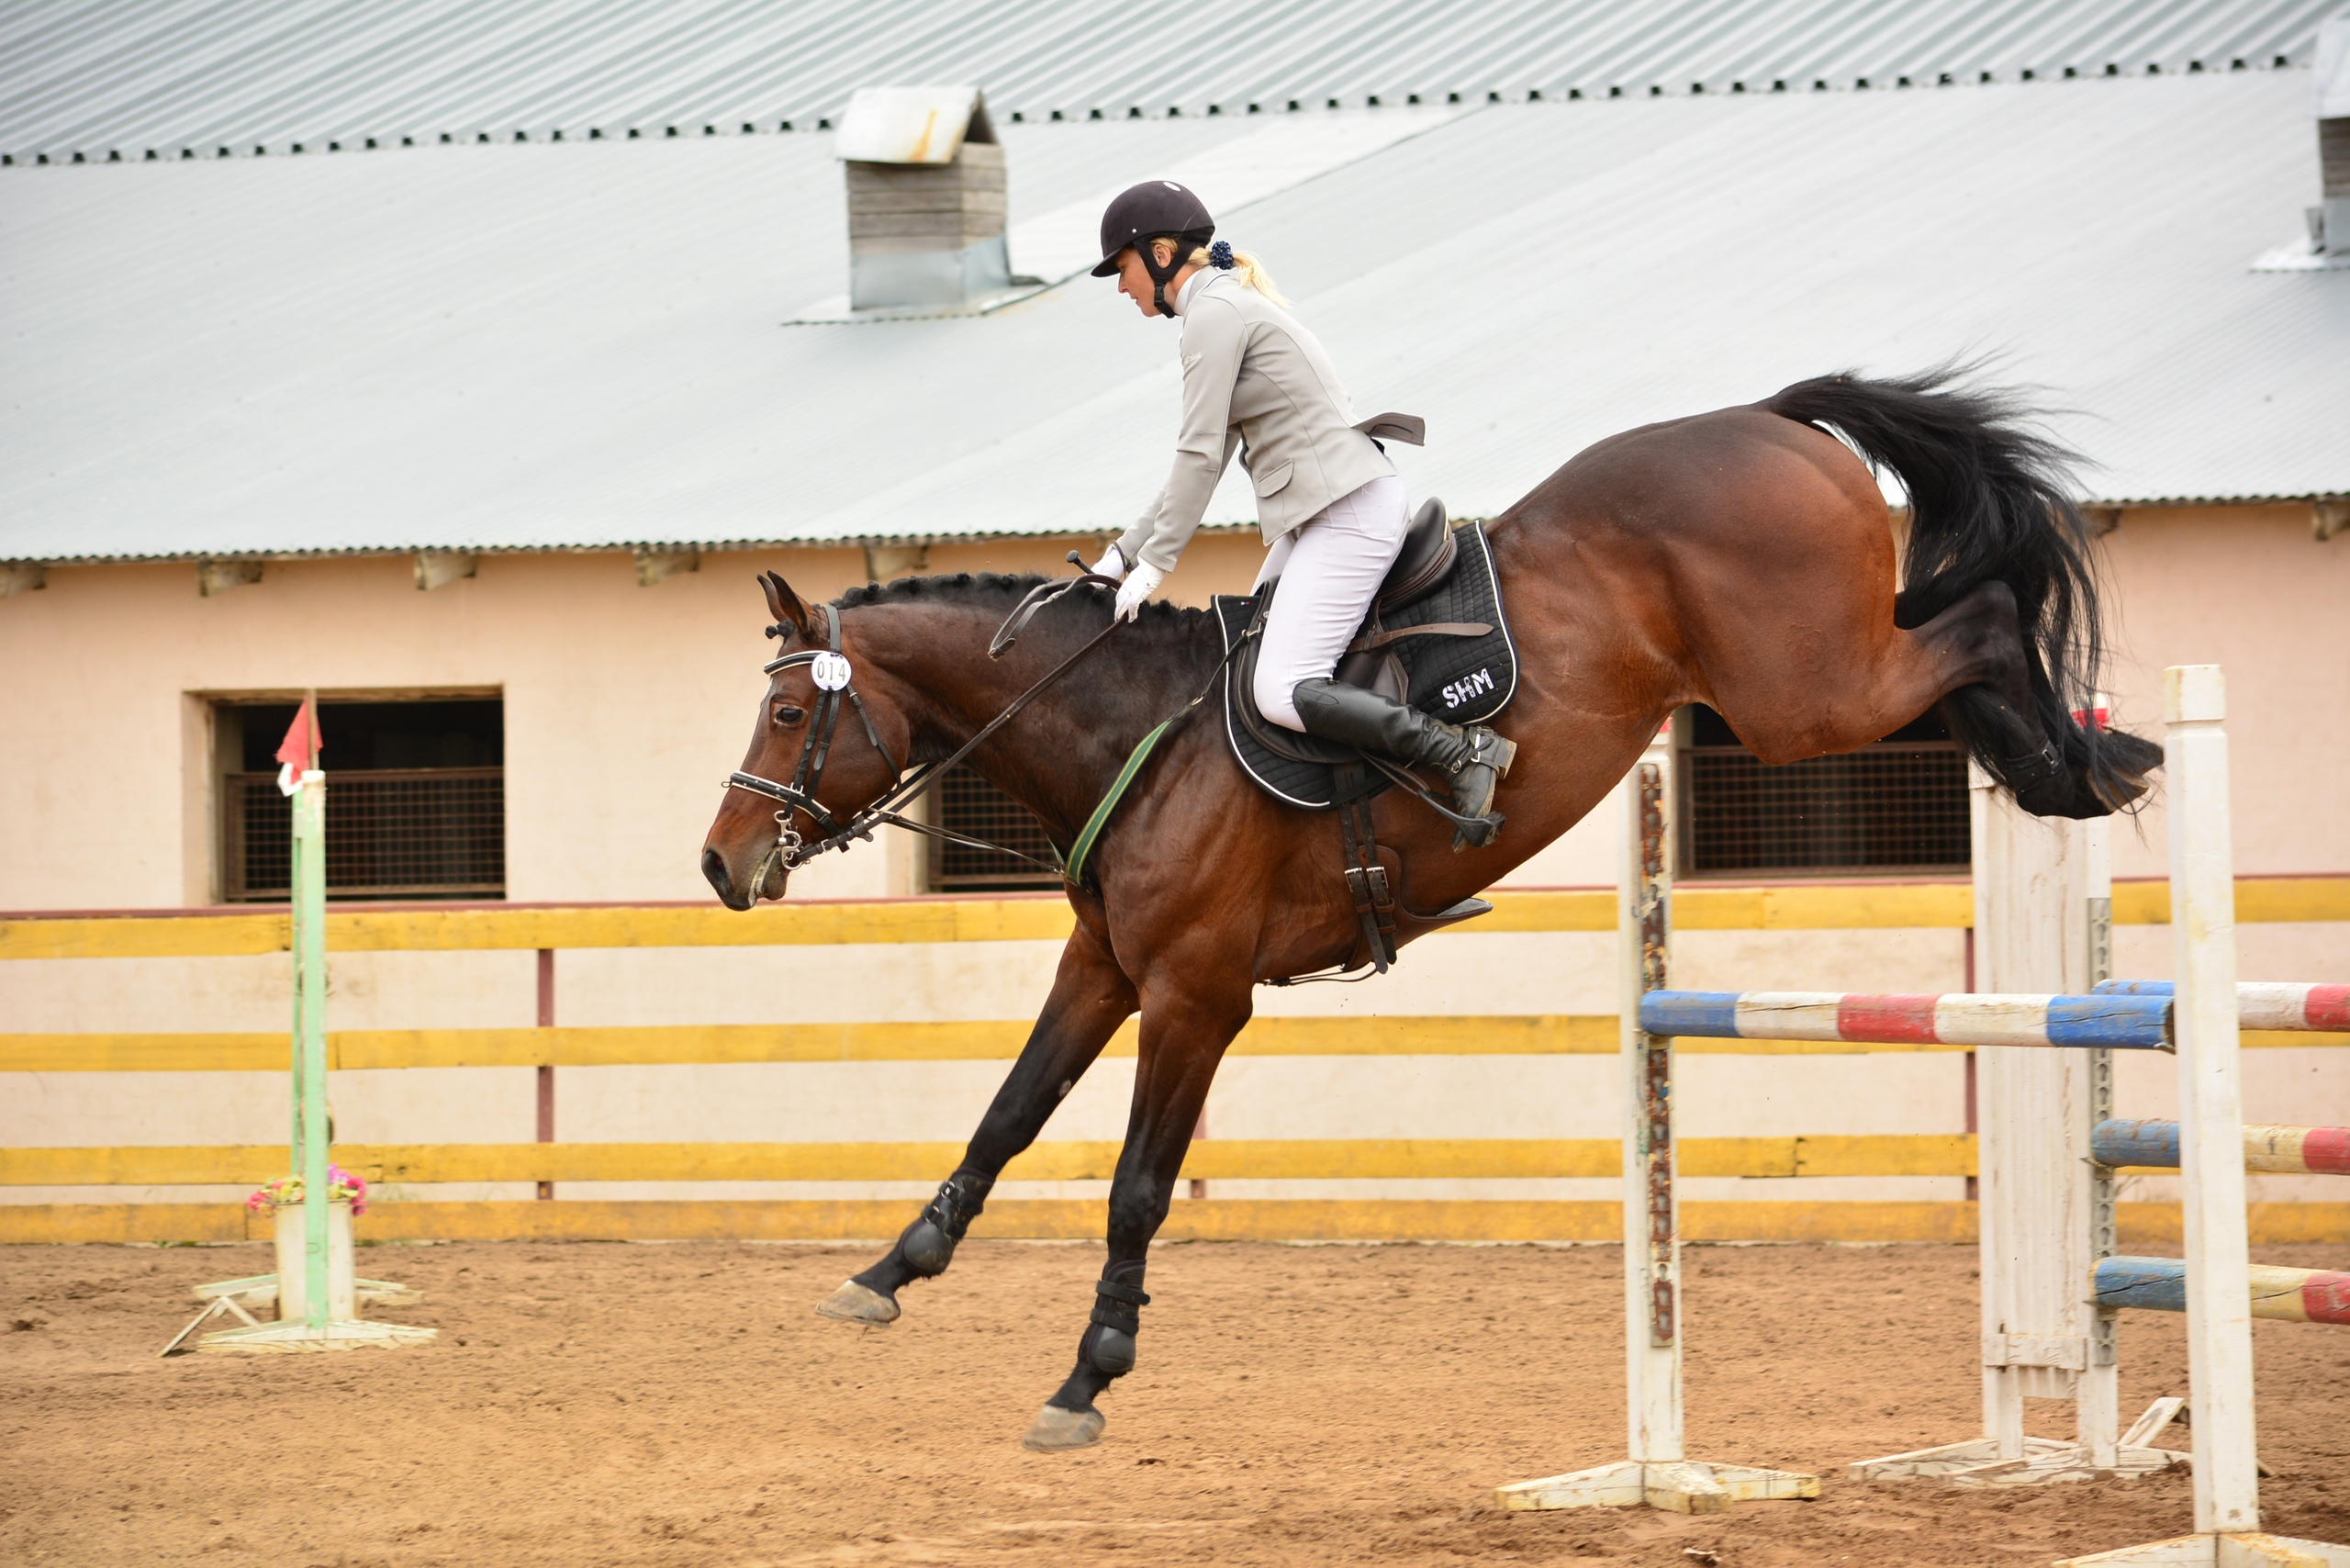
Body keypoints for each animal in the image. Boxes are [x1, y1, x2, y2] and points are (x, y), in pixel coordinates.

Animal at [699, 374, 2162, 1457]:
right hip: (1818, 674)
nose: (720, 865)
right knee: (1956, 631)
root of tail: (1766, 417)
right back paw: (2069, 759)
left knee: (1979, 615)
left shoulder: (1195, 998)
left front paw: (1087, 1375)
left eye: (783, 710)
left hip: (1805, 690)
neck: (1136, 729)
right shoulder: (1104, 966)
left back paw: (2092, 758)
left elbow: (1135, 1186)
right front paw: (891, 1272)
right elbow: (1004, 1119)